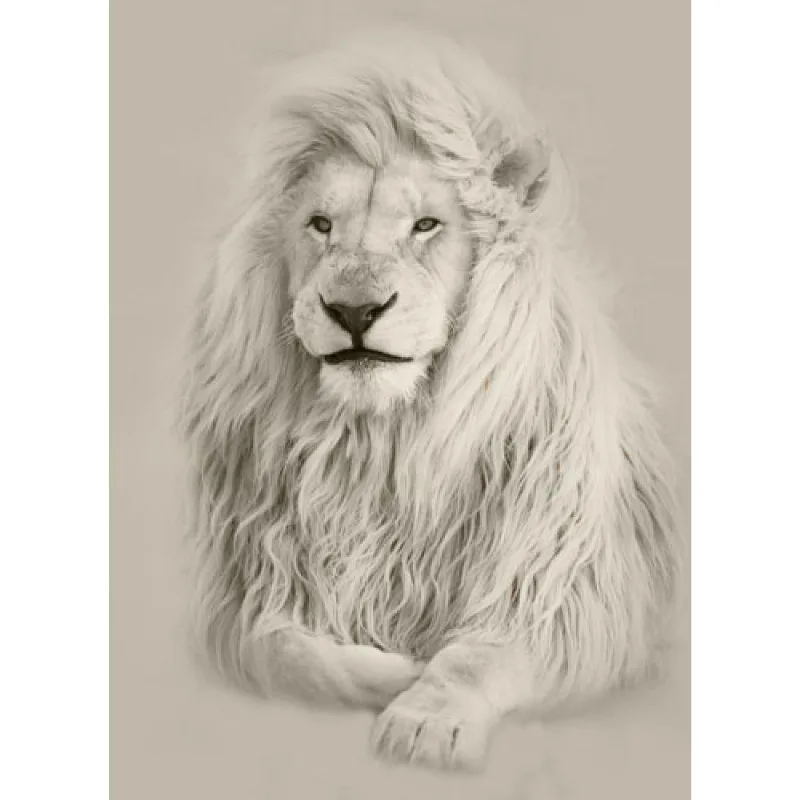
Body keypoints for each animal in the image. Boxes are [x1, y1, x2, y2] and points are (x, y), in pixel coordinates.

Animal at [180, 28, 681, 773]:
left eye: (426, 225)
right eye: (320, 224)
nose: (354, 309)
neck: (381, 446)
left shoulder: (568, 595)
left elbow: (476, 656)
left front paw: (425, 717)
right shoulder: (248, 591)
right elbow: (285, 653)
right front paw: (395, 670)